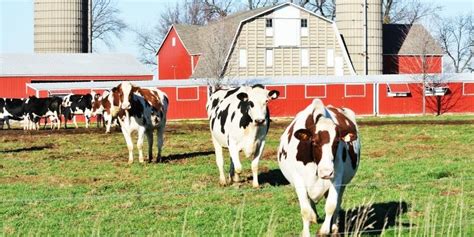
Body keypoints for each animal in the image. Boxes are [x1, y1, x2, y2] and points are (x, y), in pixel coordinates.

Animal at [276, 98, 362, 237]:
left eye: (337, 142)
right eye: (314, 142)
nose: (326, 172)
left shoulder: (337, 177)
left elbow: (331, 205)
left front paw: (325, 230)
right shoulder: (299, 180)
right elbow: (305, 210)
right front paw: (306, 231)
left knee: (337, 204)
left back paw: (334, 227)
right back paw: (314, 217)